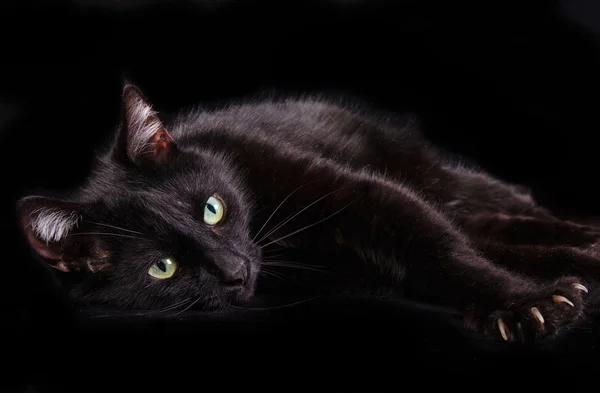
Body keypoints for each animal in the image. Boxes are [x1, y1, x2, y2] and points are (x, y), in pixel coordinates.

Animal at [15, 82, 600, 344]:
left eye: (212, 209)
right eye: (164, 267)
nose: (235, 270)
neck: (275, 247)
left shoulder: (360, 195)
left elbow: (442, 248)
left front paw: (526, 304)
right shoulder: (364, 269)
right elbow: (451, 251)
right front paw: (539, 291)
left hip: (432, 175)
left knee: (504, 209)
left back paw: (585, 242)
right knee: (489, 230)